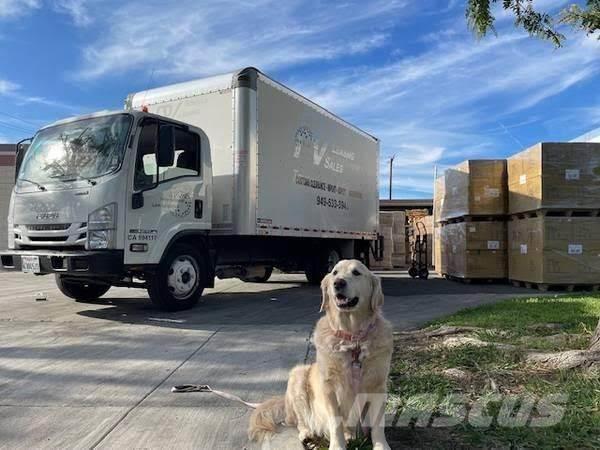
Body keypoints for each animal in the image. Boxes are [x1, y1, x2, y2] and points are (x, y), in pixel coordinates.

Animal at [246, 260, 392, 450]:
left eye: (356, 272)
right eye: (335, 272)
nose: (338, 283)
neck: (352, 338)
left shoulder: (378, 387)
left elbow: (378, 424)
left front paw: (381, 446)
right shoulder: (329, 388)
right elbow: (335, 422)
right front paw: (337, 446)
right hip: (298, 376)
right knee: (299, 422)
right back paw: (308, 435)